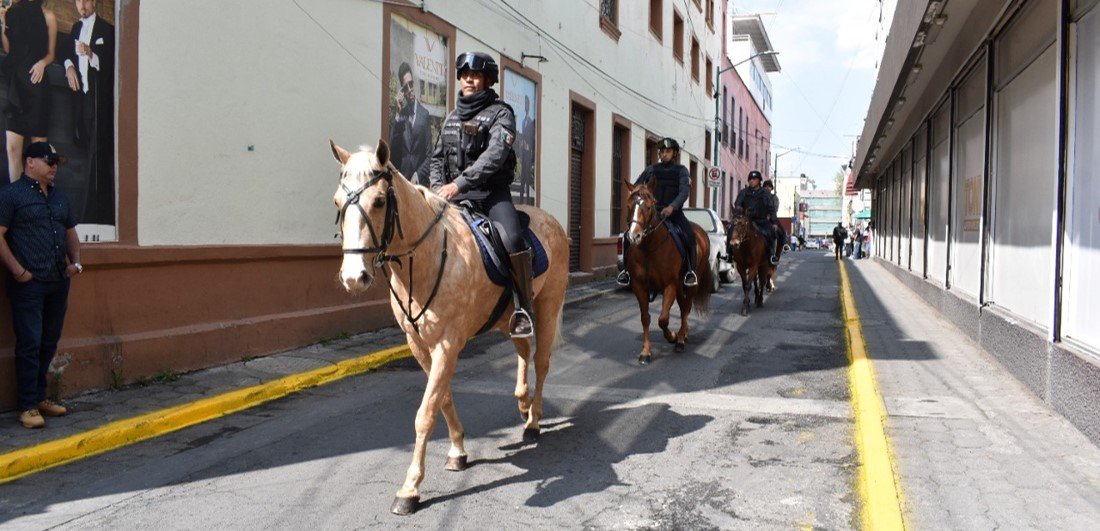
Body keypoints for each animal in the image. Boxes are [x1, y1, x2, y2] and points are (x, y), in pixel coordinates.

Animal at [332, 139, 570, 515]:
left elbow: (426, 411)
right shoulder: (418, 344)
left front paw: (410, 488)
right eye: (337, 202)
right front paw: (458, 450)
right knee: (523, 350)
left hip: (547, 307)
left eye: (380, 201)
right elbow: (441, 397)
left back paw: (533, 420)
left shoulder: (447, 344)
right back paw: (522, 402)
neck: (425, 256)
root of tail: (554, 223)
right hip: (508, 318)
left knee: (541, 362)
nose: (354, 277)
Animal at [622, 179, 712, 365]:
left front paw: (673, 337)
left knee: (686, 308)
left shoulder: (669, 285)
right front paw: (646, 352)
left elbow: (663, 319)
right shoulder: (639, 286)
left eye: (649, 207)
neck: (649, 248)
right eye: (629, 206)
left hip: (691, 284)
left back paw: (681, 339)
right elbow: (646, 318)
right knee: (684, 306)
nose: (634, 236)